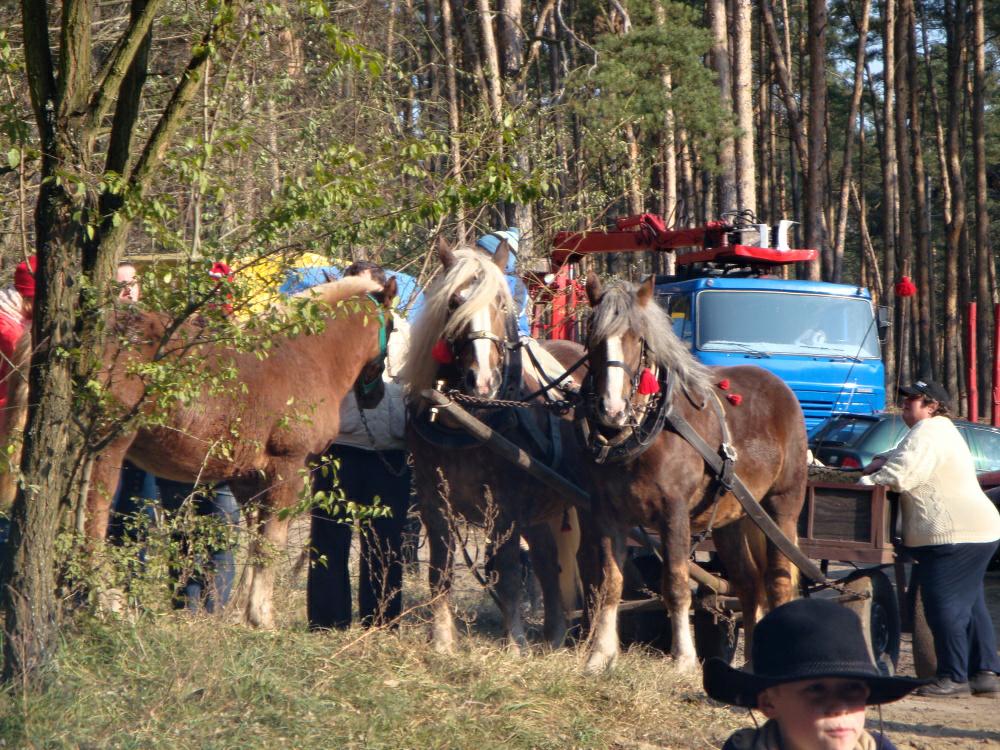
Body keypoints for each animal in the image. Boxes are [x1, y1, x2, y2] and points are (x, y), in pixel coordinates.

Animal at [400, 241, 584, 652]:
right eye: (455, 301)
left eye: (501, 303)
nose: (482, 381)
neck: (468, 419)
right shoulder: (433, 496)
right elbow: (440, 568)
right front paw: (442, 639)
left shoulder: (506, 503)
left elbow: (510, 571)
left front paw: (515, 642)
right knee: (548, 562)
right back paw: (554, 634)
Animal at [580, 278, 804, 676]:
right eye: (592, 336)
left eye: (638, 338)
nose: (611, 409)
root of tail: (782, 389)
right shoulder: (608, 515)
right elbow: (610, 583)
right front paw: (601, 656)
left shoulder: (674, 513)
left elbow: (676, 583)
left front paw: (683, 659)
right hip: (733, 519)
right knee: (748, 585)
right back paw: (749, 664)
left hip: (782, 509)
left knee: (778, 581)